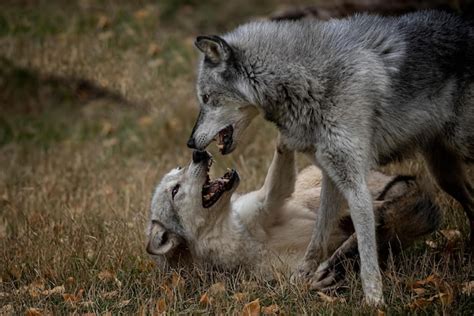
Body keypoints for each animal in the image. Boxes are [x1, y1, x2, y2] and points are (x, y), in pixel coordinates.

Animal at [147, 139, 440, 288]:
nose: (197, 153)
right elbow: (296, 281)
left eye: (179, 169)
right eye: (175, 190)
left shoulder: (270, 198)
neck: (239, 238)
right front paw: (318, 281)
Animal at [186, 10, 474, 304]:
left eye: (207, 98)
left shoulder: (354, 181)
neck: (311, 79)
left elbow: (366, 250)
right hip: (444, 175)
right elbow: (318, 239)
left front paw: (374, 302)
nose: (191, 143)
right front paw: (298, 282)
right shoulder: (333, 176)